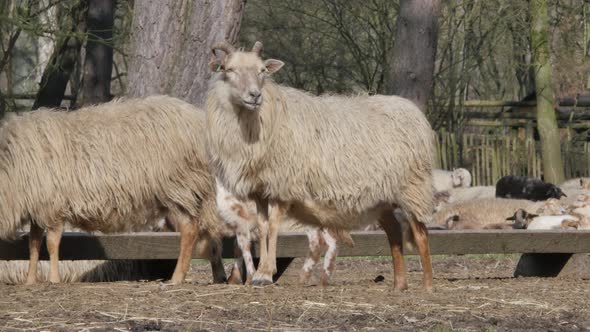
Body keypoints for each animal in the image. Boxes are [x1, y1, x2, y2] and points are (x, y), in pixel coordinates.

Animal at [0, 95, 227, 286]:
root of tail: (197, 119)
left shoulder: (53, 205)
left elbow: (51, 244)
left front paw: (53, 280)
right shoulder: (37, 207)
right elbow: (33, 245)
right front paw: (30, 280)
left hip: (179, 186)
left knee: (189, 230)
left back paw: (177, 278)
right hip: (197, 191)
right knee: (210, 230)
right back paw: (218, 276)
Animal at [207, 40, 434, 290]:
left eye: (262, 70)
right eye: (229, 69)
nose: (255, 95)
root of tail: (412, 110)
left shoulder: (282, 185)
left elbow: (274, 226)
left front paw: (265, 272)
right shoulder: (261, 190)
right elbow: (264, 227)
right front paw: (260, 273)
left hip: (412, 186)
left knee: (421, 233)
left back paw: (428, 285)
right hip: (382, 197)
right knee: (394, 231)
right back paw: (399, 285)